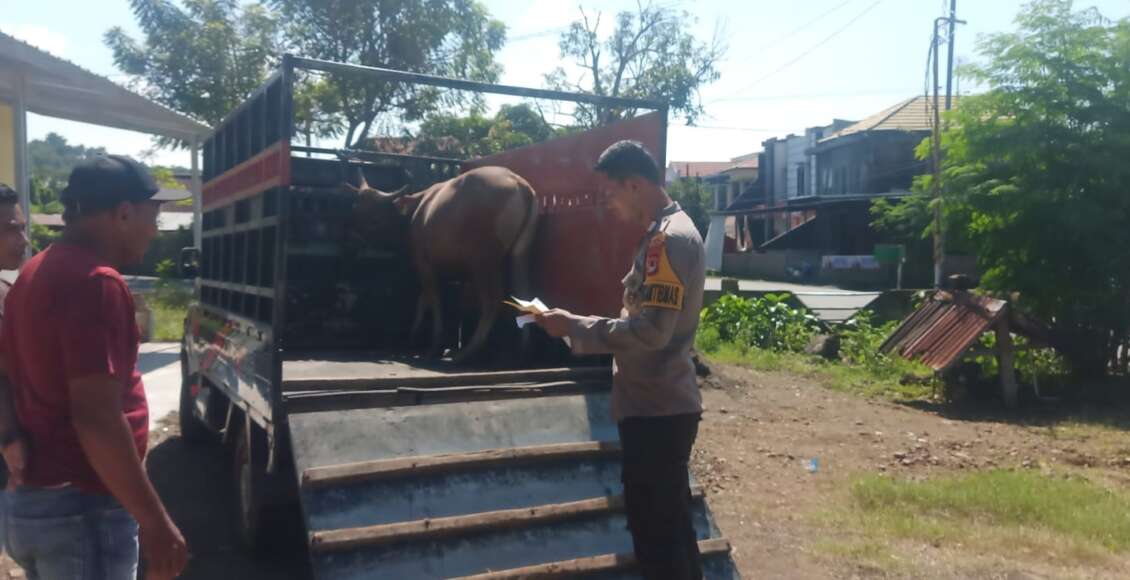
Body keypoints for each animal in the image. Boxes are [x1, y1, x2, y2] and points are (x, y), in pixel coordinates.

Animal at [346, 165, 539, 364]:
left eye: (374, 218)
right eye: (354, 209)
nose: (352, 239)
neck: (413, 213)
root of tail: (522, 186)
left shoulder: (425, 263)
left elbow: (432, 299)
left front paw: (433, 344)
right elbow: (425, 299)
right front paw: (414, 336)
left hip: (483, 259)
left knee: (492, 300)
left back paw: (467, 351)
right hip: (518, 254)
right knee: (524, 293)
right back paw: (522, 350)